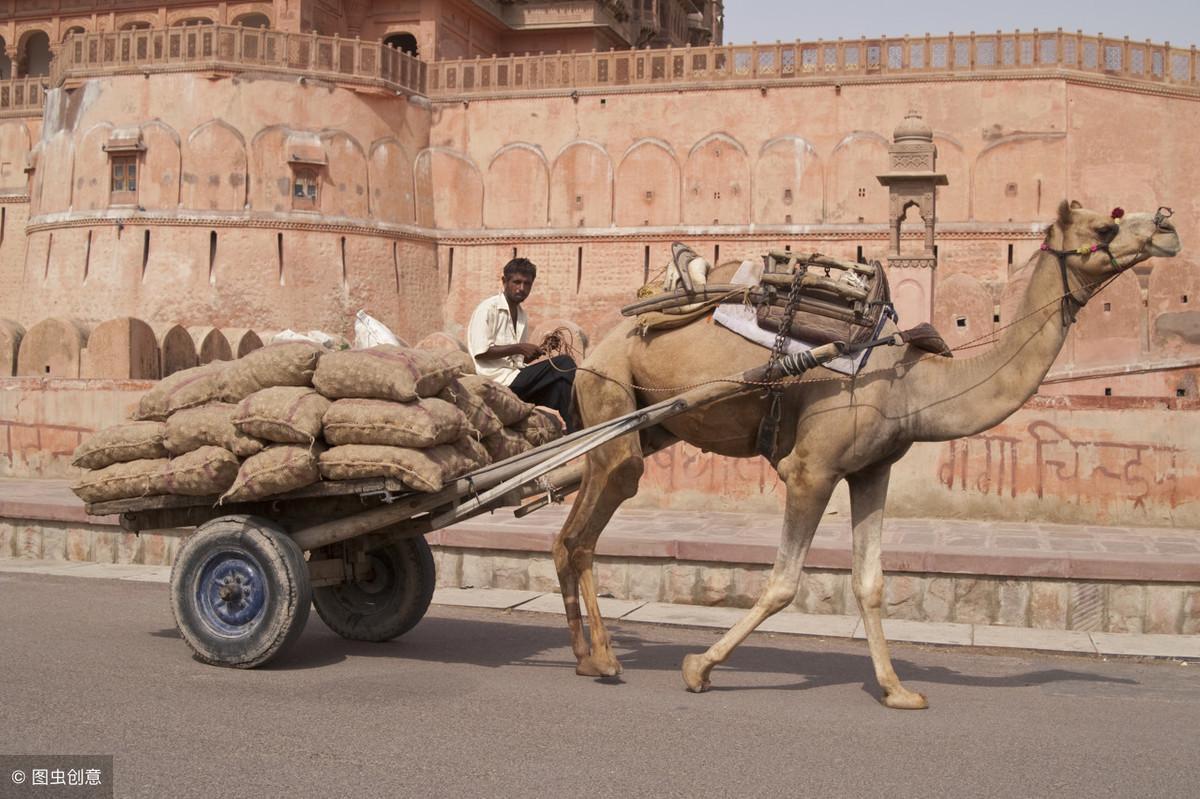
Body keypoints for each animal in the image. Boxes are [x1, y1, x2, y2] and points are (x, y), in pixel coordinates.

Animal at [552, 202, 1180, 705]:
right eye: (1106, 225)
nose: (1167, 225)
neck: (914, 387)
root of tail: (594, 345)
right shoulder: (812, 469)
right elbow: (783, 582)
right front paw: (698, 666)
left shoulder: (872, 471)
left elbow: (871, 582)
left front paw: (897, 689)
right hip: (613, 395)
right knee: (588, 527)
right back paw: (604, 659)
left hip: (645, 424)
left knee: (569, 528)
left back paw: (584, 656)